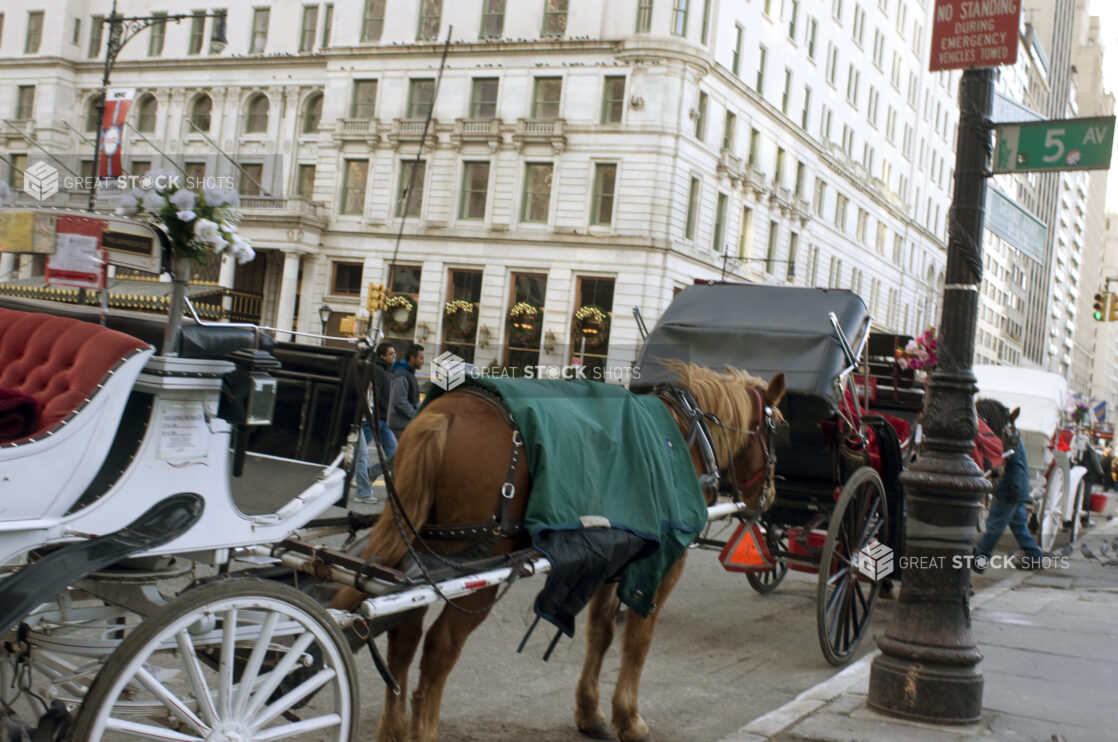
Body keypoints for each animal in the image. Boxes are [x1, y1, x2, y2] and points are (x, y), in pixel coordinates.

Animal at [330, 364, 787, 742]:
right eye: (777, 428)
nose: (769, 496)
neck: (684, 435)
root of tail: (445, 414)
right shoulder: (663, 564)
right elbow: (638, 640)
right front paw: (629, 718)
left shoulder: (612, 561)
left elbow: (601, 633)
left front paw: (591, 712)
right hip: (473, 574)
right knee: (439, 647)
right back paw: (423, 731)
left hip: (425, 560)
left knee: (404, 637)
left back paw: (394, 730)